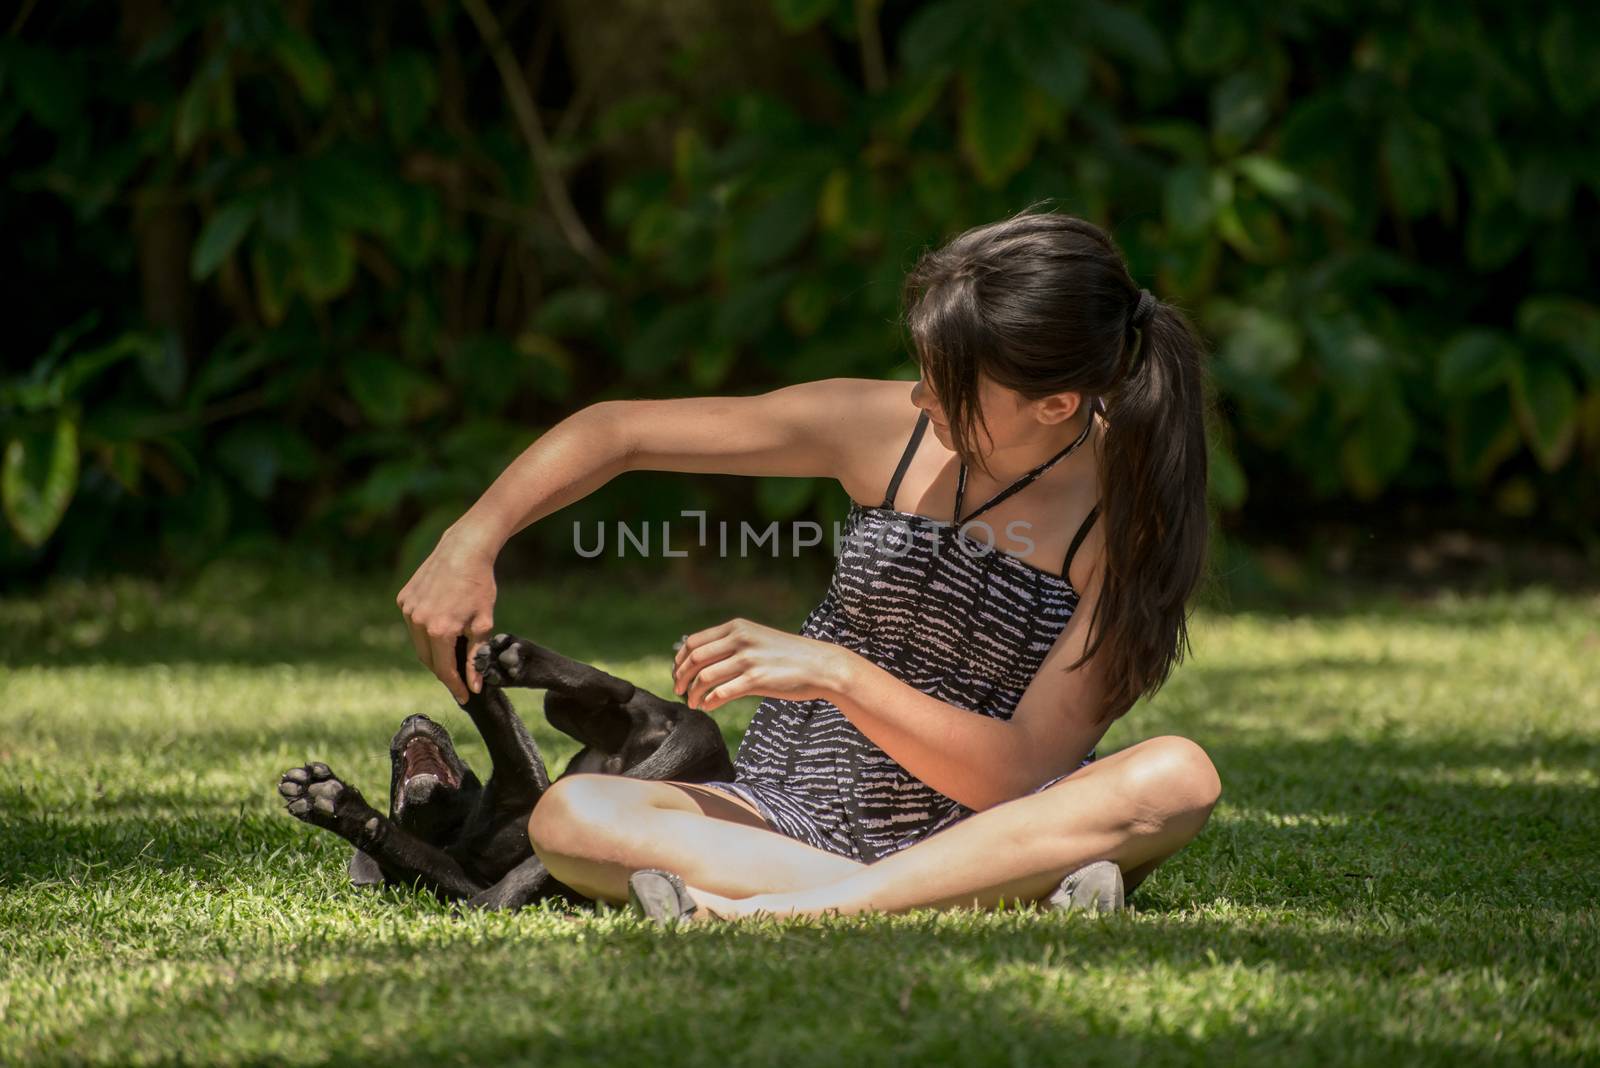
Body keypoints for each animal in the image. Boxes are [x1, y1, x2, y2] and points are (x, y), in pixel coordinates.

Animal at [280, 633, 736, 908]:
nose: (412, 718)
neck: (457, 829)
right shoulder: (464, 882)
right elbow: (403, 844)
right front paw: (331, 803)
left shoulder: (525, 779)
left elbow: (497, 721)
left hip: (584, 712)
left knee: (613, 689)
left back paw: (516, 658)